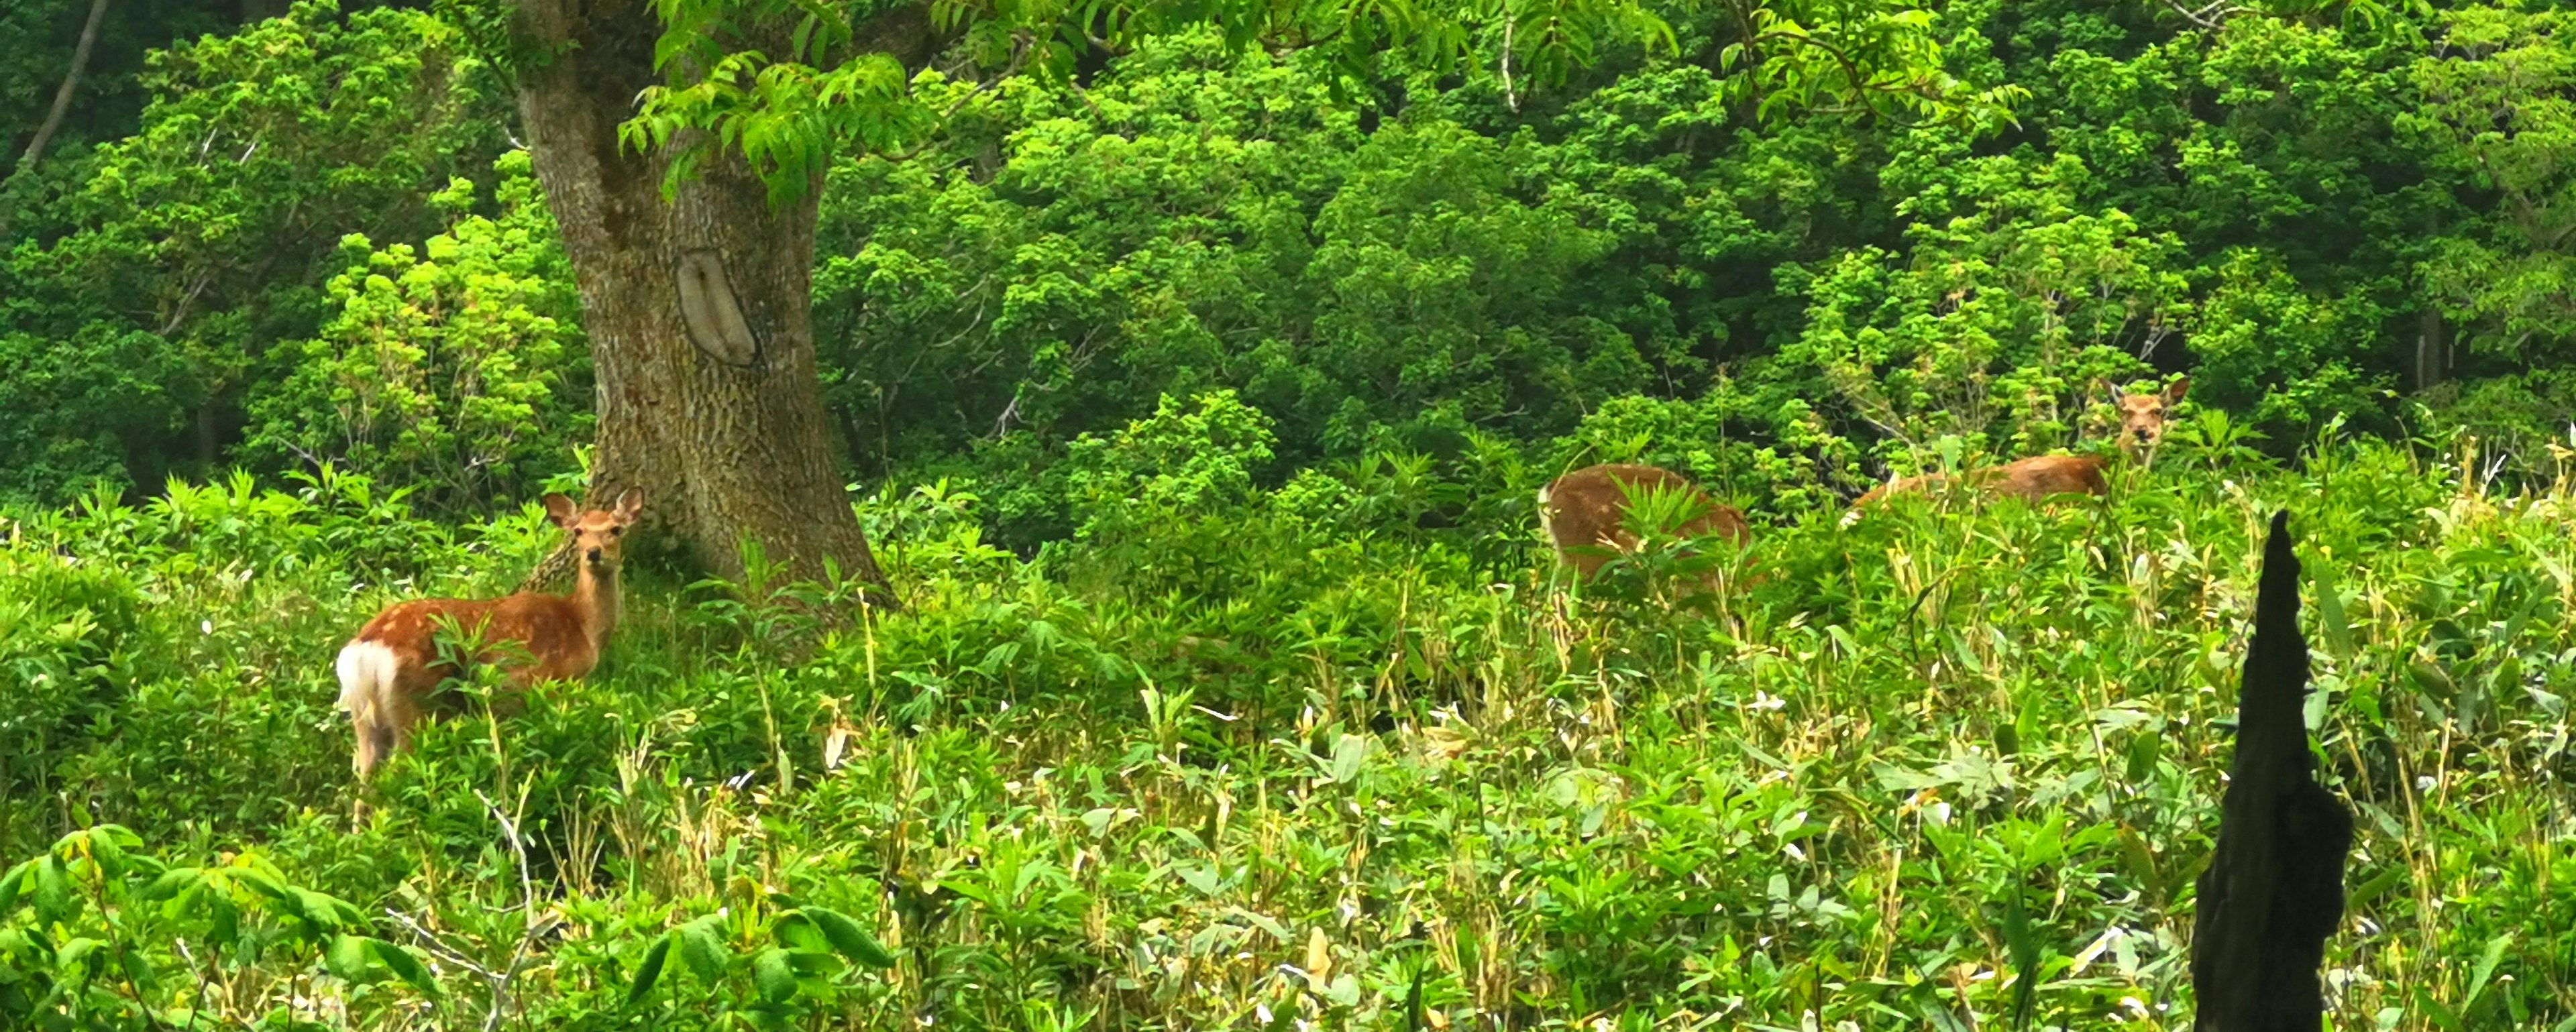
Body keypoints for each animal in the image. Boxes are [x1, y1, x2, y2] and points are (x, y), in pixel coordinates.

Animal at [335, 486, 641, 777]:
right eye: (578, 531)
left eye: (616, 529)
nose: (594, 553)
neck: (582, 625)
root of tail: (368, 647)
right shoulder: (553, 682)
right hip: (416, 701)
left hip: (362, 713)